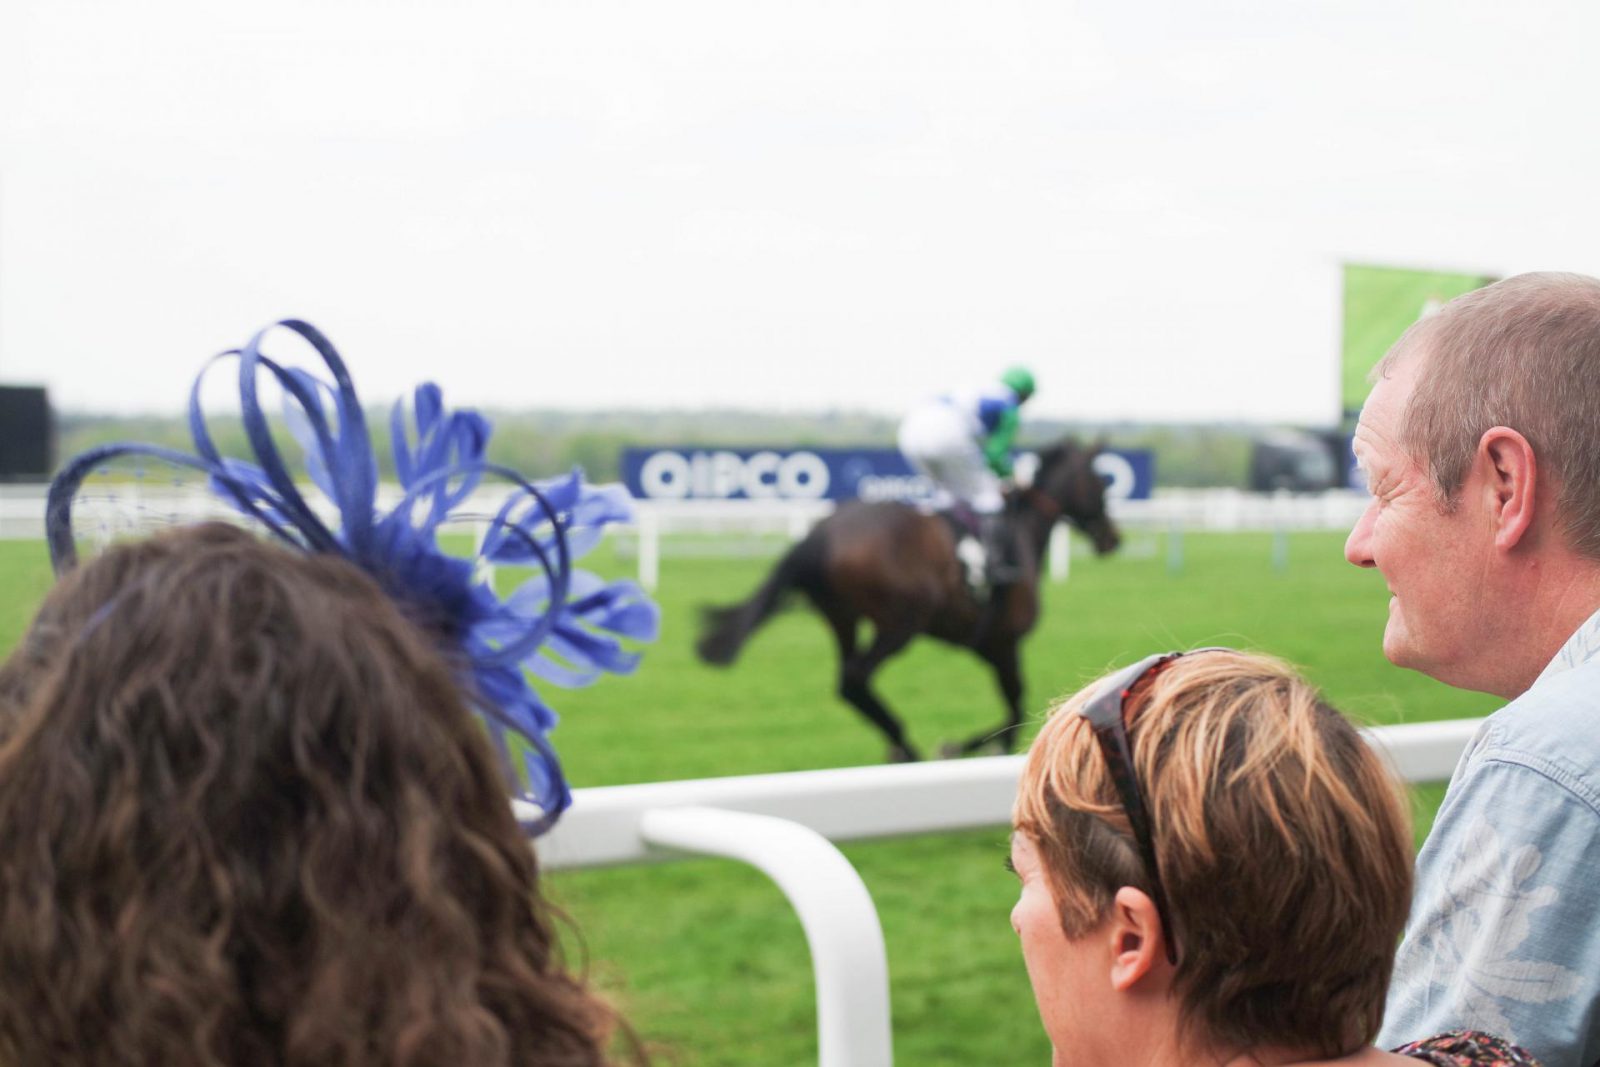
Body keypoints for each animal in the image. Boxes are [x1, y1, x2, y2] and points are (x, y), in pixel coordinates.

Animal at [700, 441, 1126, 758]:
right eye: (1102, 483)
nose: (1112, 538)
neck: (1021, 530)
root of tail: (824, 531)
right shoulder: (1003, 642)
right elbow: (1015, 708)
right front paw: (963, 746)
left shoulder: (985, 645)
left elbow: (1014, 708)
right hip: (898, 623)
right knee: (856, 678)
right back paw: (906, 748)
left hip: (842, 618)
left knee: (848, 683)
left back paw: (898, 747)